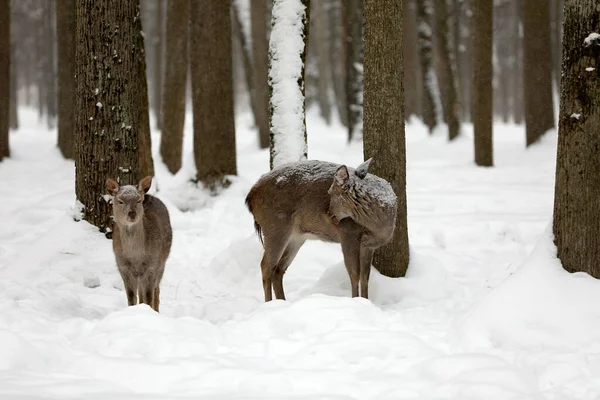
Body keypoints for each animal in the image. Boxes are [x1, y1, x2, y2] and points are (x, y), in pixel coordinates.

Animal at [106, 176, 172, 312]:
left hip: (162, 263)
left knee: (156, 290)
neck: (136, 257)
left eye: (138, 200)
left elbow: (149, 296)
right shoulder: (122, 266)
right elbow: (131, 296)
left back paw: (157, 311)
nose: (132, 214)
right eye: (120, 201)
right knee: (141, 292)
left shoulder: (152, 266)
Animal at [245, 159, 398, 300]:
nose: (329, 215)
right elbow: (354, 273)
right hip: (275, 225)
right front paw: (356, 300)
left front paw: (366, 301)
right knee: (266, 265)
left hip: (296, 237)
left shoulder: (368, 245)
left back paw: (282, 301)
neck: (378, 227)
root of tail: (250, 195)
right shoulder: (348, 232)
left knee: (278, 269)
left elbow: (365, 277)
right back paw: (269, 303)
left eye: (331, 192)